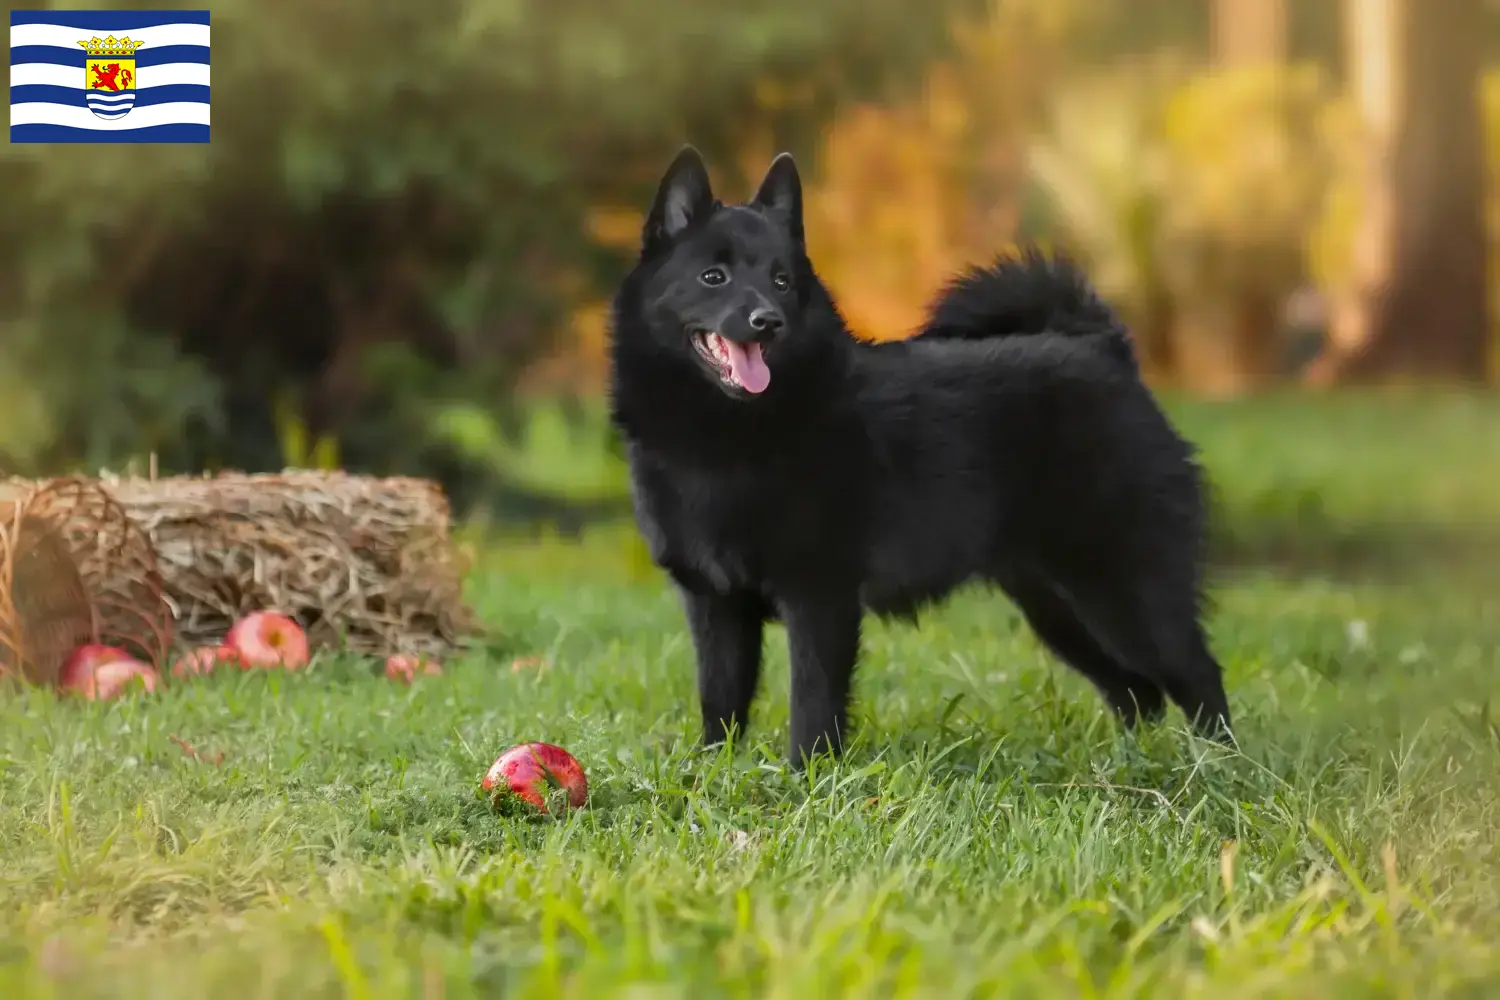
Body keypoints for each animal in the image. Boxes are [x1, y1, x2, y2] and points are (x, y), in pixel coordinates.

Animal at [606, 144, 1230, 761]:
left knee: (1197, 675)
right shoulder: (715, 604)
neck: (728, 436)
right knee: (1136, 690)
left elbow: (813, 703)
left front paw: (806, 775)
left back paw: (1220, 766)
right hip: (1058, 607)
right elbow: (721, 700)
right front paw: (715, 771)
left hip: (1126, 590)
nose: (768, 321)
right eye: (713, 277)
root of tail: (1106, 351)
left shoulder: (819, 596)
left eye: (781, 281)